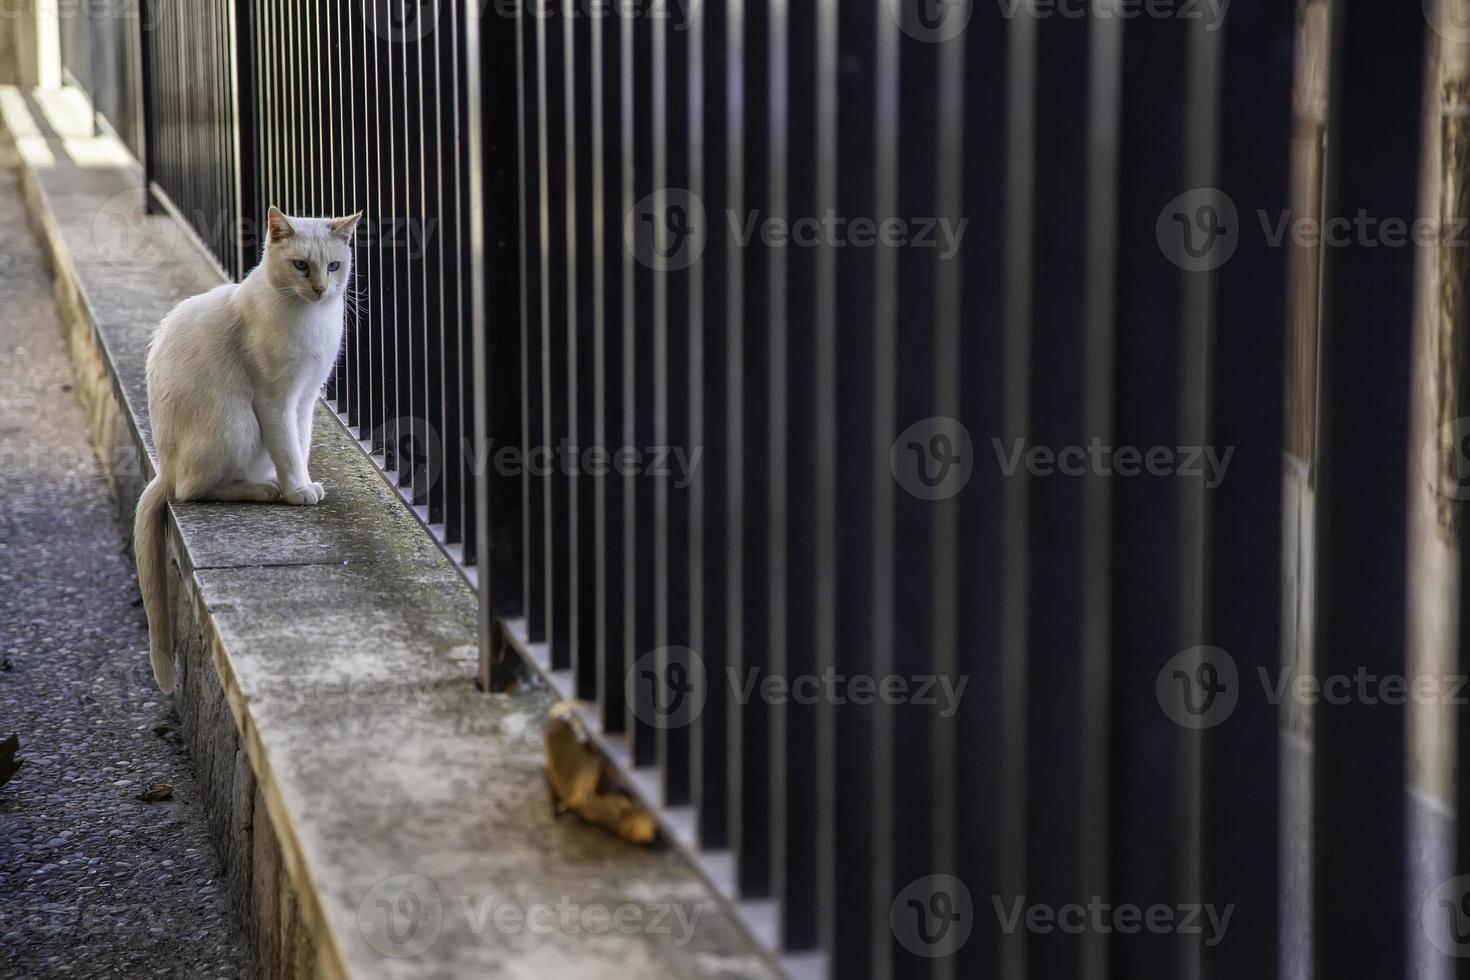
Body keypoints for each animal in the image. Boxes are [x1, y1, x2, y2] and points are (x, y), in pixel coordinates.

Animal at [133, 208, 360, 696]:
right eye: (300, 266)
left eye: (333, 266)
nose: (320, 289)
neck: (310, 318)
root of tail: (164, 468)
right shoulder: (275, 401)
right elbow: (288, 450)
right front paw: (296, 492)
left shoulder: (306, 399)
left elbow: (300, 445)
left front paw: (302, 484)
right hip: (238, 421)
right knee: (191, 491)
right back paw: (263, 490)